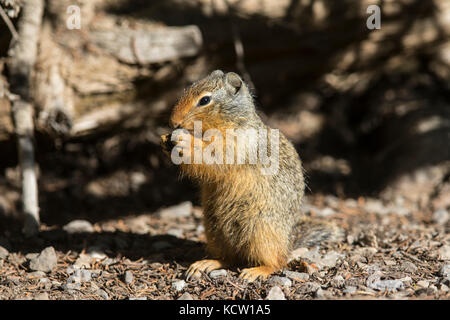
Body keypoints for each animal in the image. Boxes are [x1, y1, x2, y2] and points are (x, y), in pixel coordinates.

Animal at [162, 69, 338, 280]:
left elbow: (212, 156)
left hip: (261, 232)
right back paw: (205, 264)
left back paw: (256, 271)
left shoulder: (234, 145)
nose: (173, 121)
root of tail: (287, 244)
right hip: (214, 231)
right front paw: (165, 139)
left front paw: (184, 140)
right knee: (229, 259)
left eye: (204, 100)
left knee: (276, 262)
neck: (229, 121)